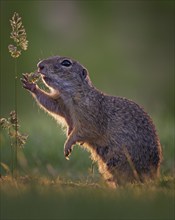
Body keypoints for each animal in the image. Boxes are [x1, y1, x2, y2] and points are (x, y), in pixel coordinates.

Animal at [21, 55, 162, 187]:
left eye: (66, 63)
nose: (40, 65)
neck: (72, 94)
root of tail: (154, 174)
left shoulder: (90, 116)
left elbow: (85, 131)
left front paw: (68, 144)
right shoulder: (61, 104)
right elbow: (50, 104)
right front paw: (30, 85)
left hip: (118, 161)